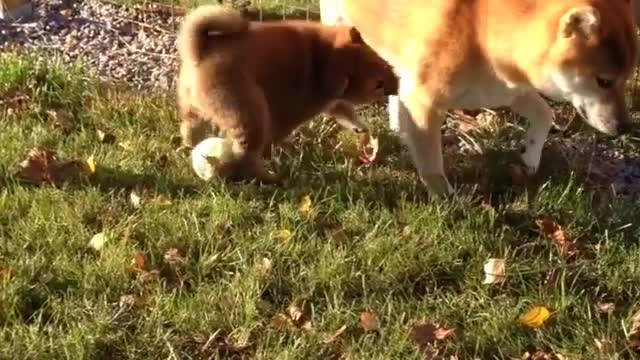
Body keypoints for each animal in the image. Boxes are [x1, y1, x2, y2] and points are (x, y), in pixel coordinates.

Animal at [178, 5, 398, 184]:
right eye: (378, 85)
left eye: (380, 60)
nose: (397, 85)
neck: (323, 57)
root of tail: (199, 52)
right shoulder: (299, 108)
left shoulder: (331, 101)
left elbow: (346, 111)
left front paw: (360, 126)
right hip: (248, 112)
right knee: (246, 155)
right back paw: (266, 177)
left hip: (194, 108)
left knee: (189, 126)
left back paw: (189, 146)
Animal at [330, 0, 640, 197]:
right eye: (604, 81)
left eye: (627, 78)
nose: (625, 127)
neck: (481, 32)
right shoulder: (424, 102)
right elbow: (432, 166)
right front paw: (448, 202)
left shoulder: (508, 90)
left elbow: (545, 115)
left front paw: (530, 157)